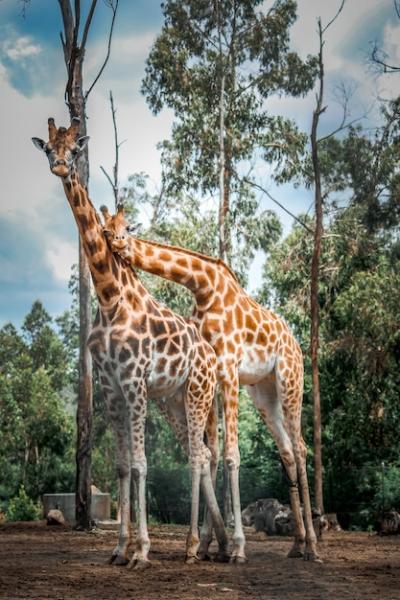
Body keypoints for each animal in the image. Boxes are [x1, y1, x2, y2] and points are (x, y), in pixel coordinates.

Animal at [30, 117, 228, 568]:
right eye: (48, 148)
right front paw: (120, 548)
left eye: (76, 148)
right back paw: (219, 542)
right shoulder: (110, 387)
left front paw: (142, 550)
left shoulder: (135, 382)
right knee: (202, 453)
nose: (60, 166)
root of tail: (211, 356)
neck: (109, 298)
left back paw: (194, 545)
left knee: (197, 455)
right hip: (173, 400)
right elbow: (121, 466)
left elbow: (140, 463)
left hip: (197, 393)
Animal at [101, 205, 322, 564]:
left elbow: (230, 453)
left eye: (127, 226)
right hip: (263, 393)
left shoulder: (228, 368)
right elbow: (213, 452)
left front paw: (237, 547)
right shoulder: (211, 371)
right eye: (106, 229)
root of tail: (297, 344)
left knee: (301, 447)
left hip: (290, 379)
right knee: (287, 449)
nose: (117, 243)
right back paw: (297, 543)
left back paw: (314, 547)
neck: (202, 285)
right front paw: (207, 544)